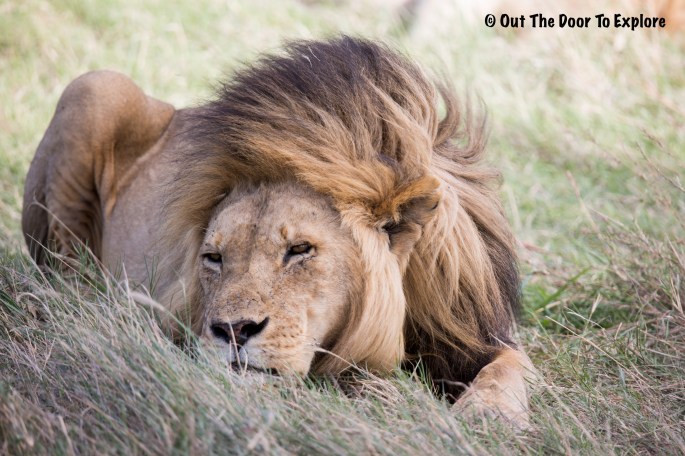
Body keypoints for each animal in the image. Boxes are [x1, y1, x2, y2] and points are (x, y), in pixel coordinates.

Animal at [22, 36, 534, 427]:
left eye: (300, 250)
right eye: (213, 257)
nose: (232, 331)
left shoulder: (472, 334)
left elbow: (513, 365)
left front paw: (490, 415)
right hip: (94, 87)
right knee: (62, 277)